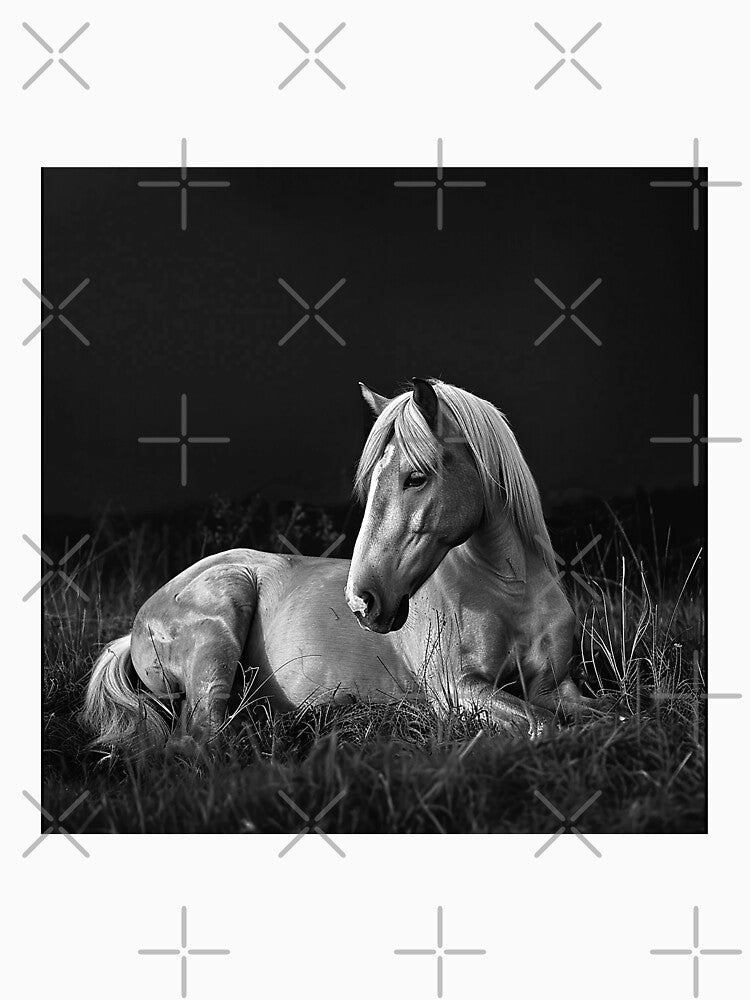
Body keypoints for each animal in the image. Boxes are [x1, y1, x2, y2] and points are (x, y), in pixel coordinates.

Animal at [82, 377, 596, 756]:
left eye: (415, 477)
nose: (361, 601)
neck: (510, 592)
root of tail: (137, 624)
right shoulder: (457, 691)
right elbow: (546, 726)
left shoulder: (556, 686)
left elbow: (601, 715)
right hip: (218, 638)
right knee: (201, 737)